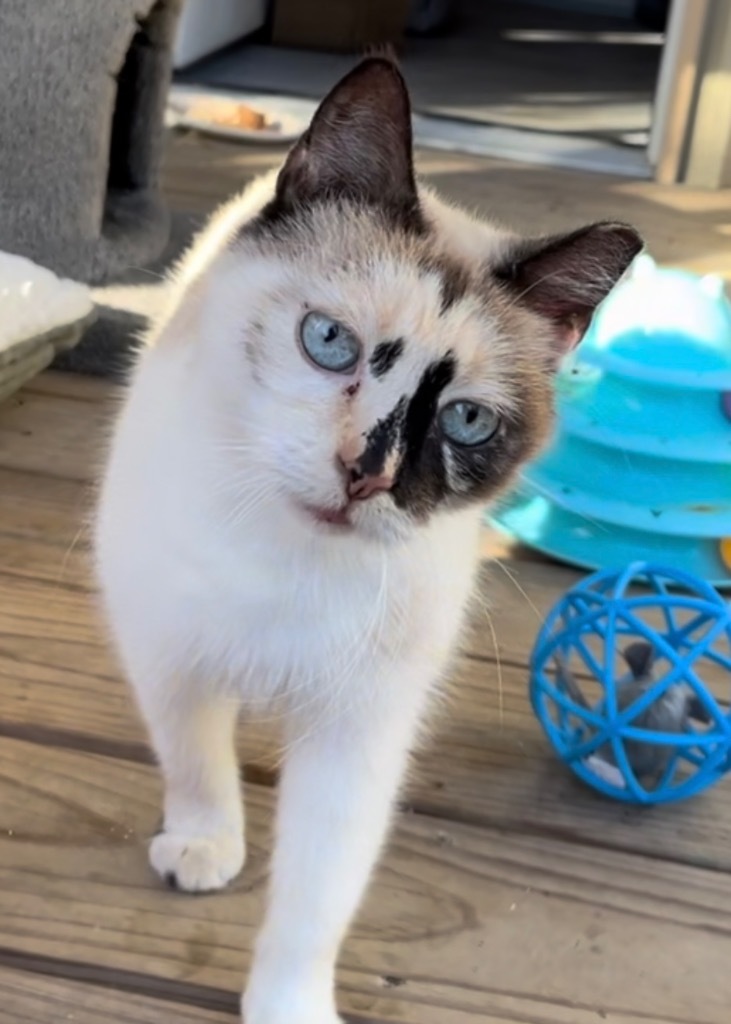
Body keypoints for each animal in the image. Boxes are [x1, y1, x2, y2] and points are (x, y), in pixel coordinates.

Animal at [94, 54, 638, 1024]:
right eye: (328, 342)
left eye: (464, 421)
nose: (365, 474)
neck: (288, 566)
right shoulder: (170, 658)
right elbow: (196, 767)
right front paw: (204, 847)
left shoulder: (357, 734)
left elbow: (314, 899)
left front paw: (287, 1006)